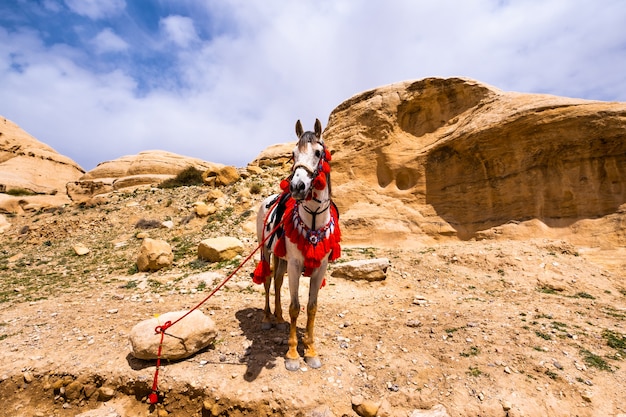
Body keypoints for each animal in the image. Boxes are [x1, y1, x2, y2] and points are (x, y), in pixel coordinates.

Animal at [252, 117, 342, 370]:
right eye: (292, 154)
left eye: (319, 152)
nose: (296, 187)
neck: (312, 221)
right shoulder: (294, 265)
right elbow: (295, 307)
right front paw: (292, 354)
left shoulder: (320, 268)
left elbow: (311, 307)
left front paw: (311, 351)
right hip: (265, 250)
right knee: (268, 280)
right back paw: (267, 318)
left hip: (281, 256)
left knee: (277, 281)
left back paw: (279, 317)